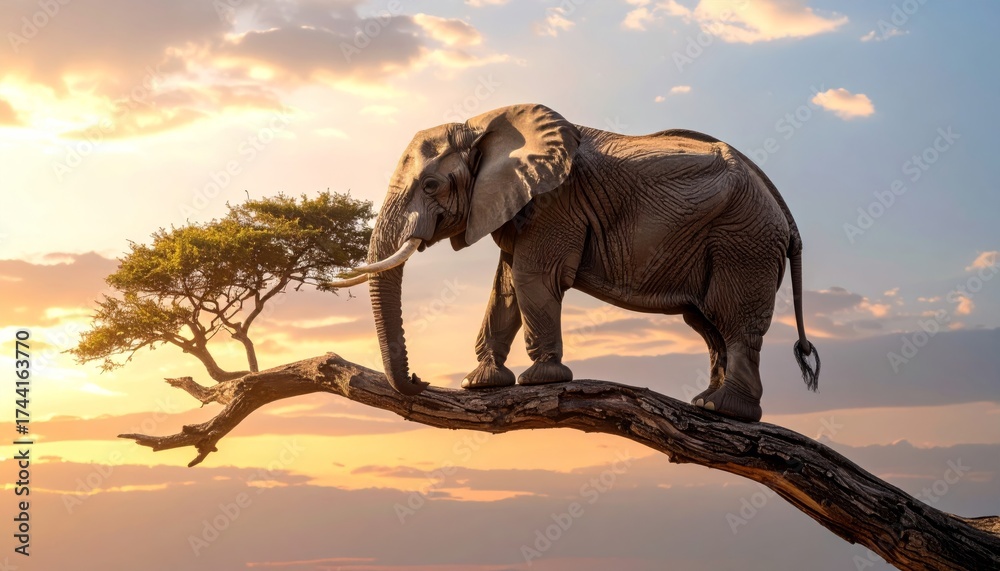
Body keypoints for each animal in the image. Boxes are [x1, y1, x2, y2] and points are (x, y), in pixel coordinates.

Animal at [327, 103, 820, 422]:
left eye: (431, 186)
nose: (419, 377)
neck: (482, 127)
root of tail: (785, 212)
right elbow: (506, 287)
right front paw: (481, 383)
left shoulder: (555, 202)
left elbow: (532, 278)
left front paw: (540, 379)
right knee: (708, 325)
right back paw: (705, 403)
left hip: (745, 242)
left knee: (734, 321)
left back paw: (726, 410)